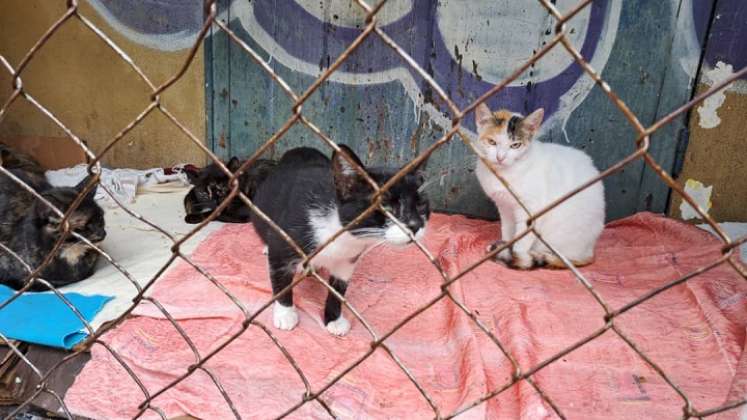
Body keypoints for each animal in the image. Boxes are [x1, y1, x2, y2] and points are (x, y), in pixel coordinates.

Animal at [251, 146, 430, 336]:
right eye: (386, 207)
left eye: (421, 205)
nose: (415, 225)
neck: (340, 234)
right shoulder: (285, 240)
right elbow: (281, 278)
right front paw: (285, 314)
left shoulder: (347, 261)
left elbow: (338, 290)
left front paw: (334, 320)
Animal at [476, 103, 604, 270]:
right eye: (492, 142)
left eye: (515, 145)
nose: (500, 157)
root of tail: (589, 252)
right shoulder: (504, 207)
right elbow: (508, 231)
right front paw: (504, 247)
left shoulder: (531, 210)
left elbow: (522, 242)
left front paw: (514, 255)